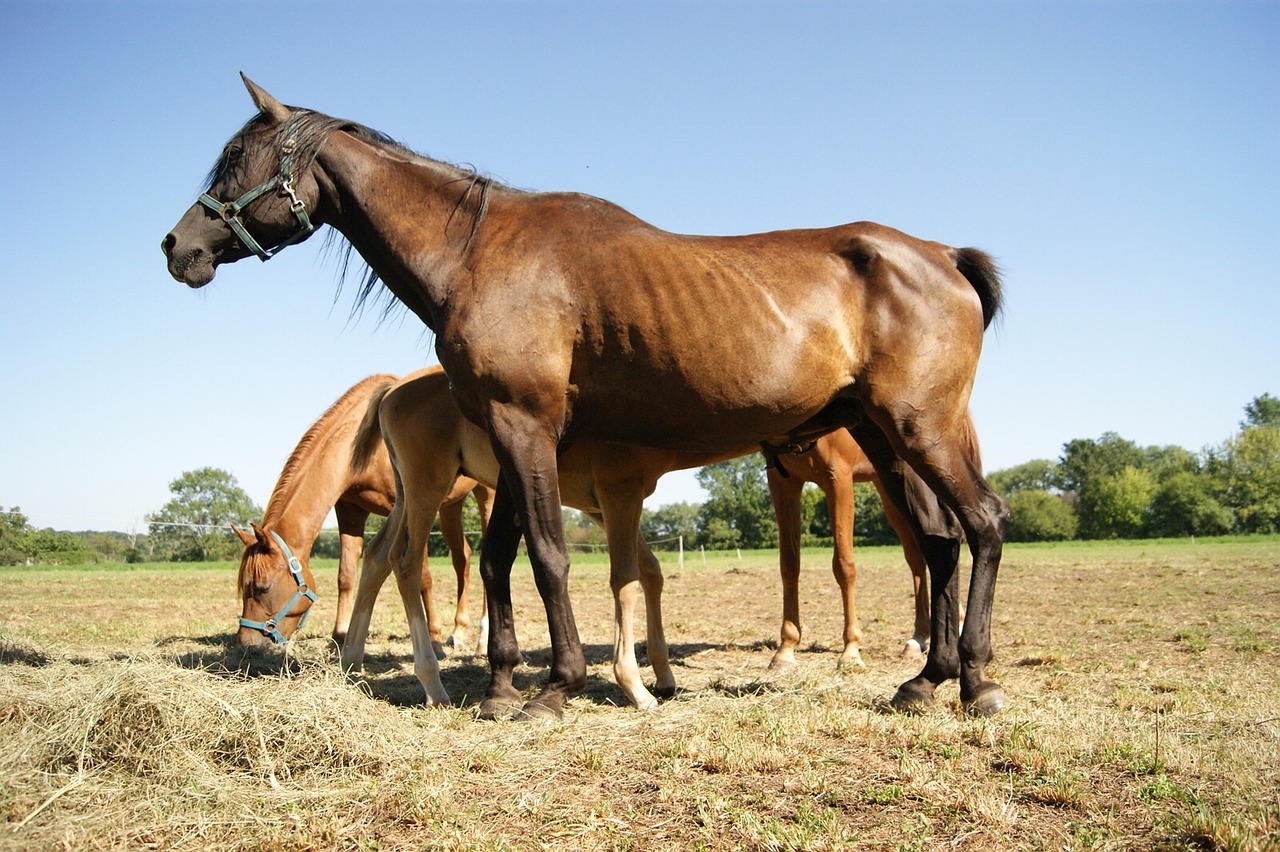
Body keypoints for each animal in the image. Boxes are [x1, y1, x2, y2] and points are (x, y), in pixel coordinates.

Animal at [232, 370, 491, 644]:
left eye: (262, 587)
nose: (246, 640)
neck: (367, 443)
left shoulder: (408, 504)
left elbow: (424, 576)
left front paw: (433, 634)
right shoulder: (350, 510)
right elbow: (346, 575)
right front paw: (340, 635)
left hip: (486, 494)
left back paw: (482, 637)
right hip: (451, 505)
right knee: (462, 558)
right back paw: (459, 631)